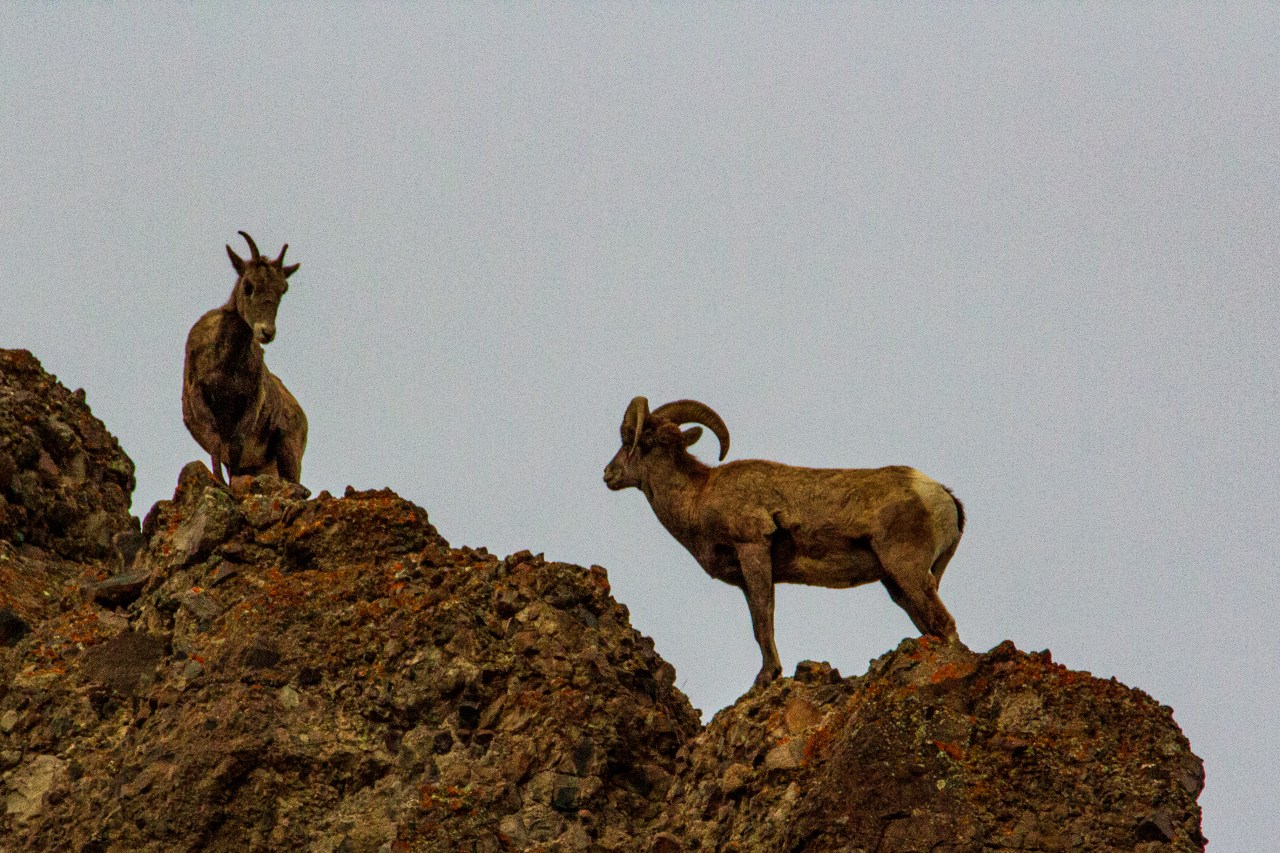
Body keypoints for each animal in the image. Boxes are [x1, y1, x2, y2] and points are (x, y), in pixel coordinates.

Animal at [182, 231, 307, 485]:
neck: (226, 365)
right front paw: (221, 482)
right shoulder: (200, 397)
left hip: (288, 450)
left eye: (283, 289)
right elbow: (215, 442)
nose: (266, 332)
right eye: (248, 285)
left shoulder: (251, 404)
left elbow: (236, 446)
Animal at [603, 396, 963, 688]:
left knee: (945, 624)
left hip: (907, 570)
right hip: (897, 585)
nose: (608, 474)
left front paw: (767, 676)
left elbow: (765, 618)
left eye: (635, 440)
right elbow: (757, 621)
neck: (698, 497)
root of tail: (941, 495)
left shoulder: (753, 549)